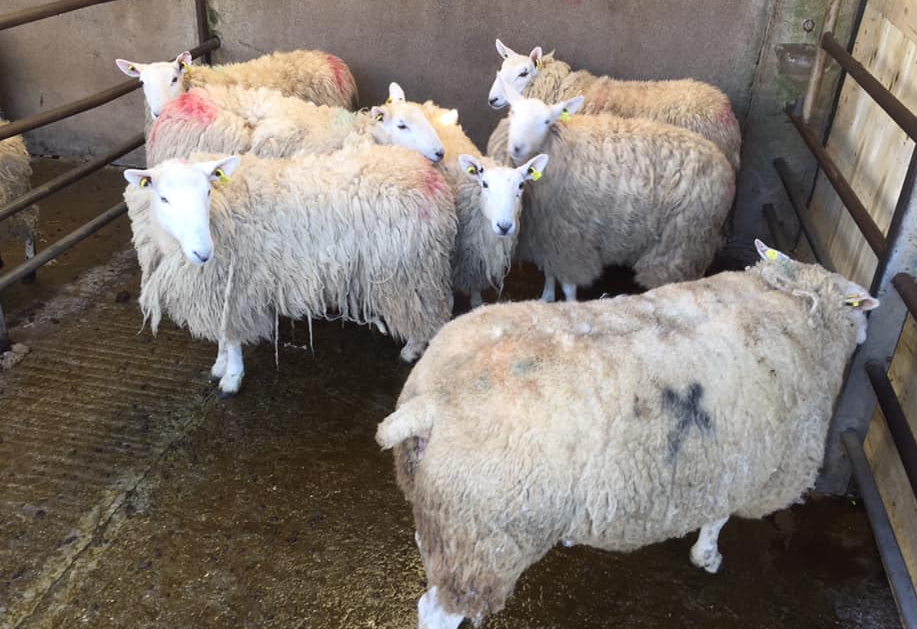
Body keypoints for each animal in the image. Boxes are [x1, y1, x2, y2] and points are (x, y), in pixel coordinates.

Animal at [122, 148, 456, 396]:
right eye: (163, 198)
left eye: (207, 191)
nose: (204, 253)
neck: (224, 209)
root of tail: (426, 171)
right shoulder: (219, 291)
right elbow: (223, 334)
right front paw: (220, 364)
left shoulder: (237, 287)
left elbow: (232, 337)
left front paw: (232, 377)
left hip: (411, 270)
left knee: (433, 311)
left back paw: (414, 349)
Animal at [375, 240, 879, 629]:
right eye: (857, 307)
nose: (865, 338)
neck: (791, 307)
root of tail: (433, 399)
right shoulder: (744, 463)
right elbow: (718, 518)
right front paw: (708, 556)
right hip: (485, 539)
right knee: (436, 611)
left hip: (442, 516)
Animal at [386, 84, 549, 309]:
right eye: (485, 184)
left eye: (521, 186)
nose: (504, 226)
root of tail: (430, 106)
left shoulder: (475, 258)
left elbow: (475, 292)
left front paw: (477, 303)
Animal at [497, 77, 735, 302]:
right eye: (513, 112)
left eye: (546, 121)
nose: (516, 148)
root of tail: (725, 167)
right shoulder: (547, 235)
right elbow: (549, 273)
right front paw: (546, 297)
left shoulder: (570, 238)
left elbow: (568, 286)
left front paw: (568, 303)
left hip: (681, 240)